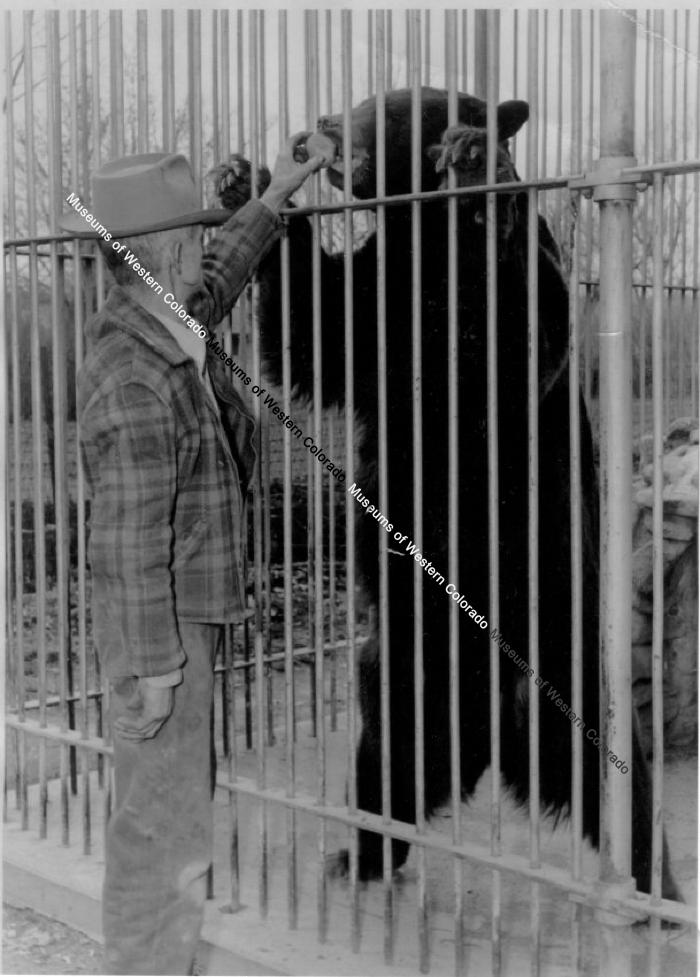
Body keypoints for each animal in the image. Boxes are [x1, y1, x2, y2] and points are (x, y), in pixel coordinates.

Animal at [211, 87, 680, 904]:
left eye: (387, 109)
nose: (323, 126)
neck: (421, 238)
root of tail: (489, 728)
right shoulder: (379, 291)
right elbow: (320, 323)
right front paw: (246, 182)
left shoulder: (505, 306)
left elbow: (516, 327)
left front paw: (471, 158)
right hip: (399, 678)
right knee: (385, 768)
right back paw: (359, 856)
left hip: (573, 674)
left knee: (625, 794)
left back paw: (657, 894)